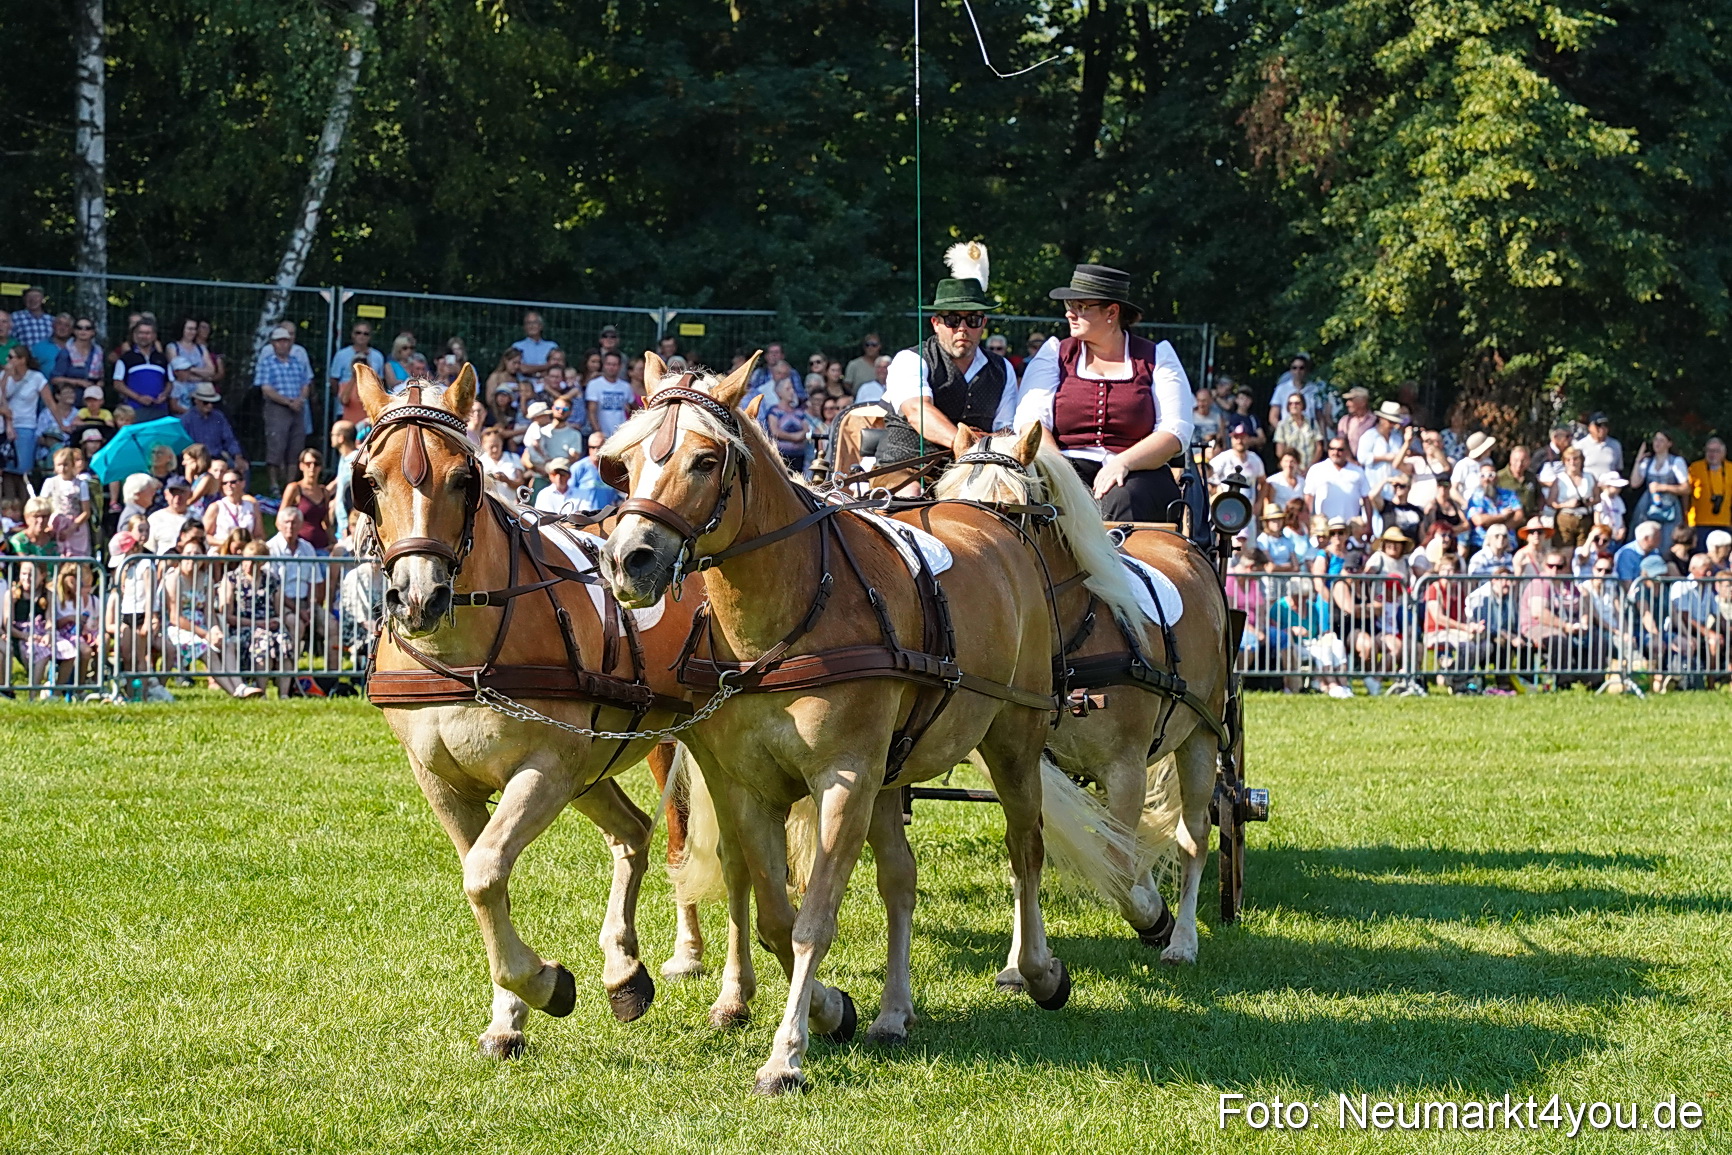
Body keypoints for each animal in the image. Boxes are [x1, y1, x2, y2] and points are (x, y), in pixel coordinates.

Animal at [350, 362, 711, 1058]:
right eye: (370, 483)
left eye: (464, 479)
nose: (419, 598)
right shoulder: (441, 781)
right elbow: (484, 880)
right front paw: (509, 1014)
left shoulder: (546, 766)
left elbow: (485, 873)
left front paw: (543, 984)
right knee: (638, 832)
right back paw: (629, 969)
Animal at [596, 353, 1096, 1094]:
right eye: (623, 463)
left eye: (705, 459)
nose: (629, 559)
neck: (793, 610)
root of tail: (988, 522)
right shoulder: (753, 784)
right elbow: (777, 912)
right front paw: (833, 1009)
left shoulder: (844, 778)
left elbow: (812, 920)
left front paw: (788, 1053)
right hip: (889, 775)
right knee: (900, 878)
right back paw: (893, 1011)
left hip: (1012, 739)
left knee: (1023, 847)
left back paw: (1035, 969)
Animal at [934, 426, 1233, 964]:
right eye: (944, 497)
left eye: (1010, 509)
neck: (1074, 634)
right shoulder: (1029, 762)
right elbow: (1028, 854)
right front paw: (1019, 960)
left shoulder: (1127, 769)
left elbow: (1117, 866)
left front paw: (1151, 914)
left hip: (1202, 733)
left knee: (1193, 836)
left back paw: (1182, 939)